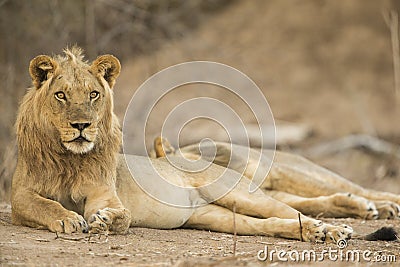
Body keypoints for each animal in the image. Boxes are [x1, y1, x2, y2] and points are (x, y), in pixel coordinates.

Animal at [10, 47, 398, 244]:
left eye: (93, 94)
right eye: (61, 95)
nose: (81, 126)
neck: (67, 158)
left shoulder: (105, 192)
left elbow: (118, 214)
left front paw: (105, 220)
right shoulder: (20, 196)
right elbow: (44, 205)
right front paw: (68, 220)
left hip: (240, 193)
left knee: (294, 210)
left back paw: (335, 230)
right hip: (216, 217)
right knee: (274, 222)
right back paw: (317, 232)